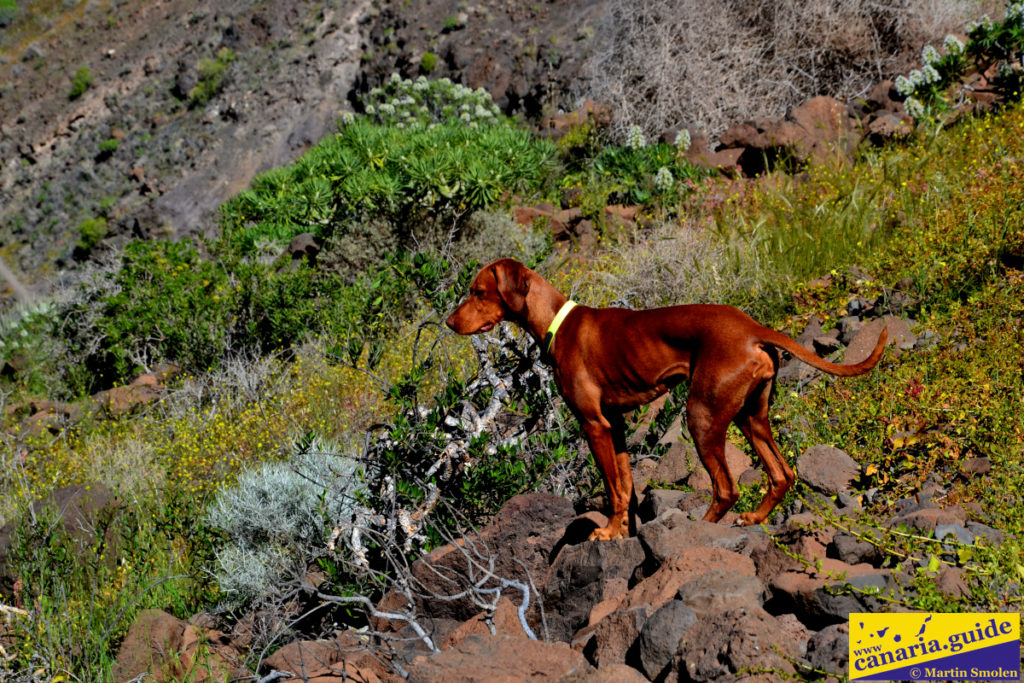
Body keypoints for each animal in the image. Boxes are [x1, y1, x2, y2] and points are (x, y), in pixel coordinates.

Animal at [448, 259, 888, 540]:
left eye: (479, 291)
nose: (450, 322)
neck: (558, 321)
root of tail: (752, 328)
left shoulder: (593, 425)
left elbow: (611, 488)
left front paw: (606, 533)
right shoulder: (615, 425)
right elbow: (626, 485)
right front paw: (623, 532)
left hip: (702, 416)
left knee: (726, 488)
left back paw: (704, 526)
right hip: (751, 416)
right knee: (782, 474)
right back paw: (752, 519)